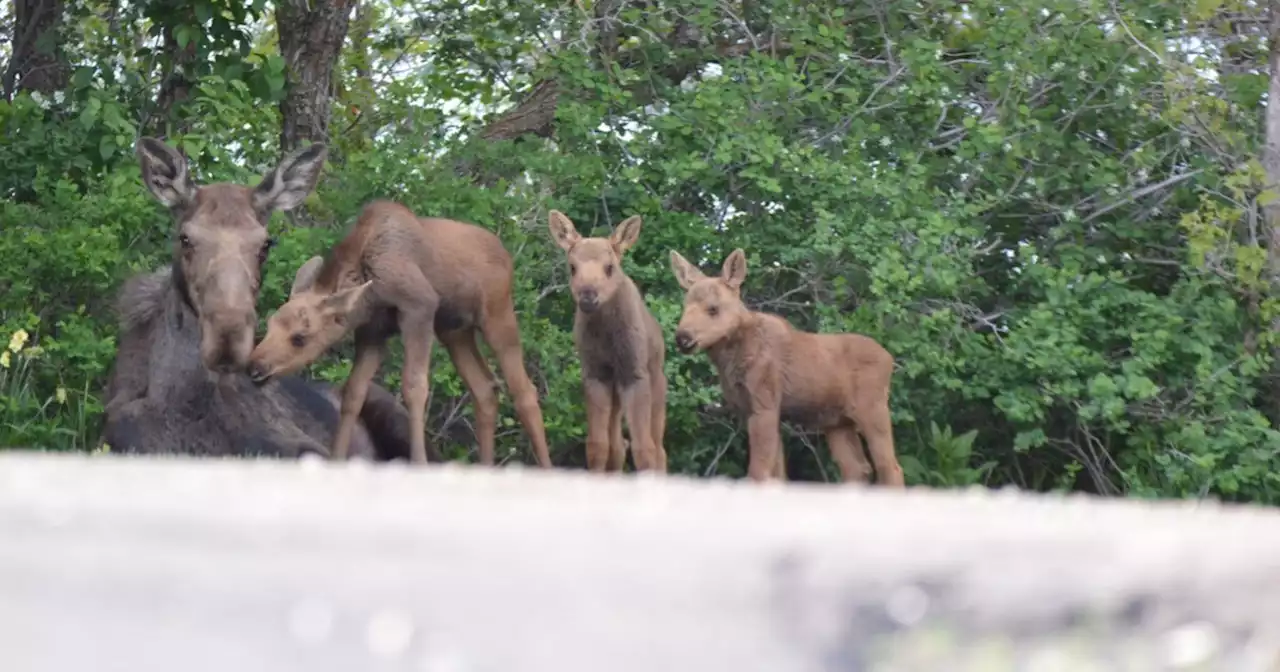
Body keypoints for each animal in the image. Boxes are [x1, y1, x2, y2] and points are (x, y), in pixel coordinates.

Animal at [247, 202, 552, 468]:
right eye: (270, 323)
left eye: (300, 337)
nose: (255, 367)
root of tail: (507, 256)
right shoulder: (373, 332)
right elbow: (353, 393)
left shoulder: (419, 309)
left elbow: (414, 387)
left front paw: (419, 463)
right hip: (456, 331)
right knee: (485, 389)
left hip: (497, 316)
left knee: (524, 391)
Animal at [547, 209, 670, 471]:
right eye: (572, 267)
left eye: (610, 267)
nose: (588, 297)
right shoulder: (595, 373)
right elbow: (597, 446)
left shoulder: (635, 374)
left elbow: (644, 449)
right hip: (616, 394)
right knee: (617, 445)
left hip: (657, 386)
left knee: (658, 449)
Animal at [665, 248, 906, 483]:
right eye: (685, 307)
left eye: (713, 309)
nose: (683, 338)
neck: (731, 363)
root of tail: (889, 359)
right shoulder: (749, 410)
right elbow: (777, 474)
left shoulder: (765, 403)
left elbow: (758, 472)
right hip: (837, 422)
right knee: (857, 468)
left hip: (873, 409)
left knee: (890, 467)